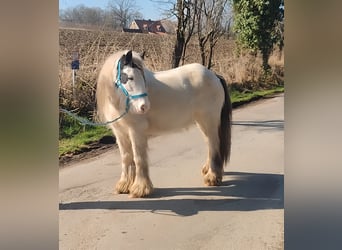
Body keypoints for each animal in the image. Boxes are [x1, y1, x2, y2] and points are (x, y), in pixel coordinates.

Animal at [95, 49, 232, 197]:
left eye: (143, 77)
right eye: (129, 77)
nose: (144, 106)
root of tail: (214, 75)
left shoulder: (136, 131)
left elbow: (138, 158)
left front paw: (140, 188)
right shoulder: (120, 132)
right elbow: (126, 158)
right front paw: (124, 185)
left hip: (209, 120)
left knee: (214, 145)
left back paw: (212, 177)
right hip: (202, 122)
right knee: (209, 143)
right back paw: (208, 170)